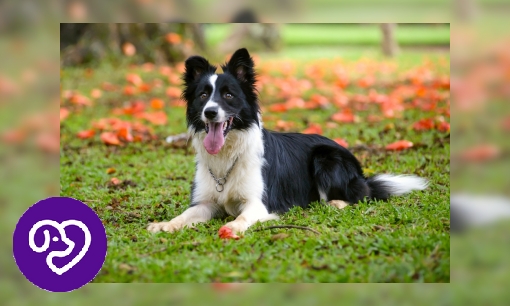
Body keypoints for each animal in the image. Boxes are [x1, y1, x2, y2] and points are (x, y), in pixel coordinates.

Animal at [146, 48, 426, 237]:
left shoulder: (259, 203)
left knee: (361, 195)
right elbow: (184, 214)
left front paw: (232, 226)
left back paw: (336, 203)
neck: (228, 155)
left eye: (228, 95)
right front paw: (165, 224)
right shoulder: (205, 203)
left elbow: (243, 217)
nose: (210, 113)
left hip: (326, 158)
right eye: (203, 95)